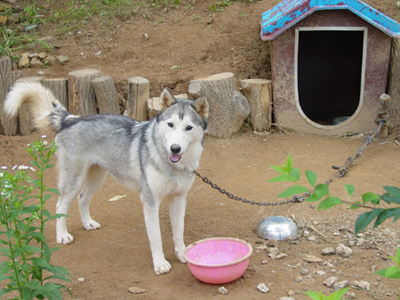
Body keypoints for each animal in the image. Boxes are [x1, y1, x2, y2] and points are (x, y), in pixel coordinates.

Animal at [3, 81, 209, 274]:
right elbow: (156, 237)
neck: (173, 165)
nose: (175, 148)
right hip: (74, 180)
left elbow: (179, 232)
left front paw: (182, 254)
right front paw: (160, 263)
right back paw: (62, 235)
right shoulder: (150, 201)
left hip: (96, 178)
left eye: (188, 127)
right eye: (170, 124)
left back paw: (87, 223)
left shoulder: (179, 198)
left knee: (82, 198)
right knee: (60, 205)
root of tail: (71, 119)